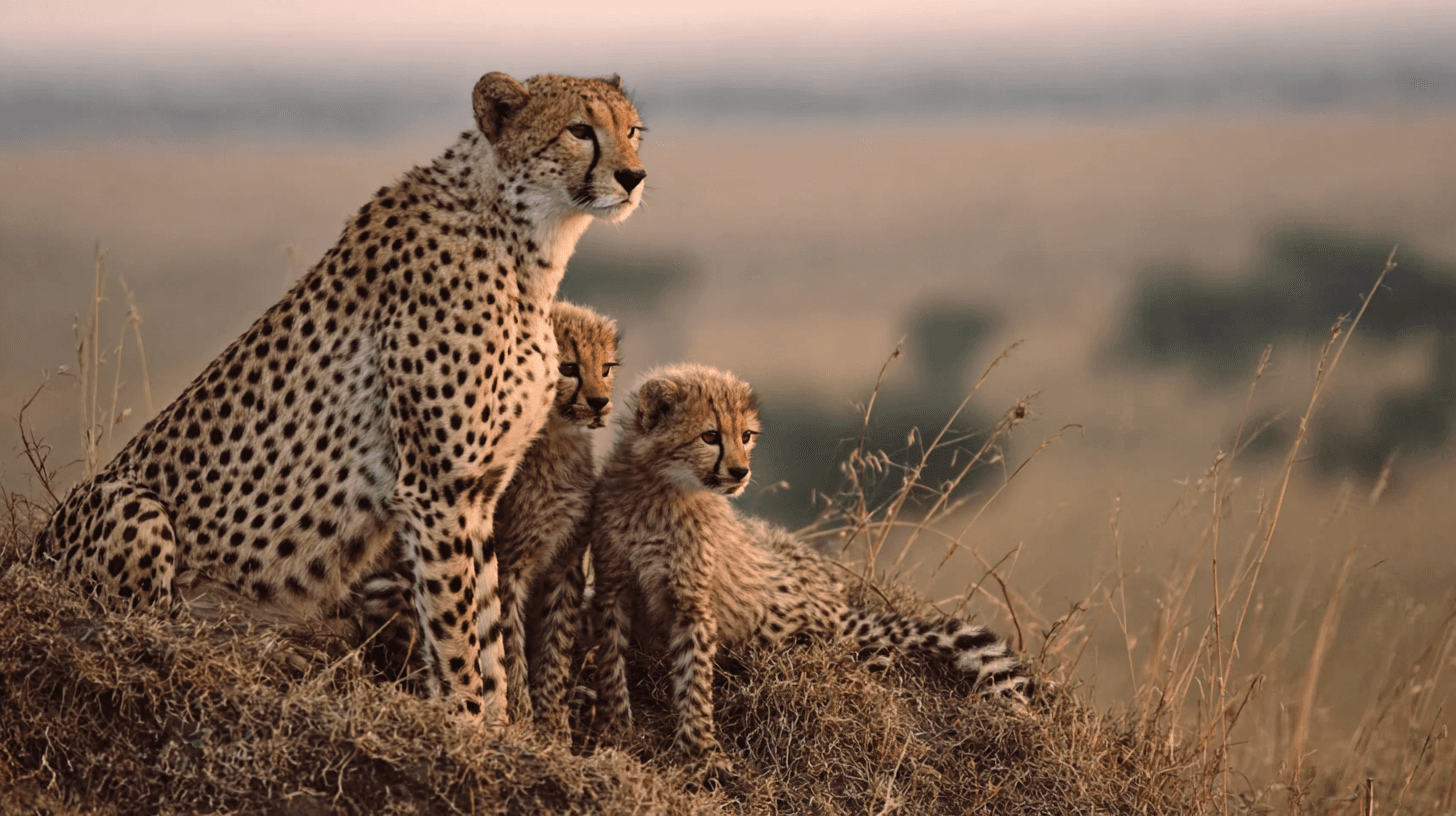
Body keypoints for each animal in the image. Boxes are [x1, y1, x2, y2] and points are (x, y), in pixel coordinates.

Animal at [352, 299, 620, 730]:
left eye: (606, 367)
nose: (599, 402)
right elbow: (508, 643)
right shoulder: (508, 565)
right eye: (568, 368)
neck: (555, 444)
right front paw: (524, 719)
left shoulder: (566, 561)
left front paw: (553, 721)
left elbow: (555, 644)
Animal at [587, 364, 1031, 766]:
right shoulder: (612, 587)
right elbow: (610, 660)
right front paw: (616, 728)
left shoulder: (692, 602)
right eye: (710, 436)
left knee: (855, 647)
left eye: (745, 436)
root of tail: (831, 596)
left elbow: (693, 677)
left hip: (782, 626)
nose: (740, 471)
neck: (660, 492)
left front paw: (699, 754)